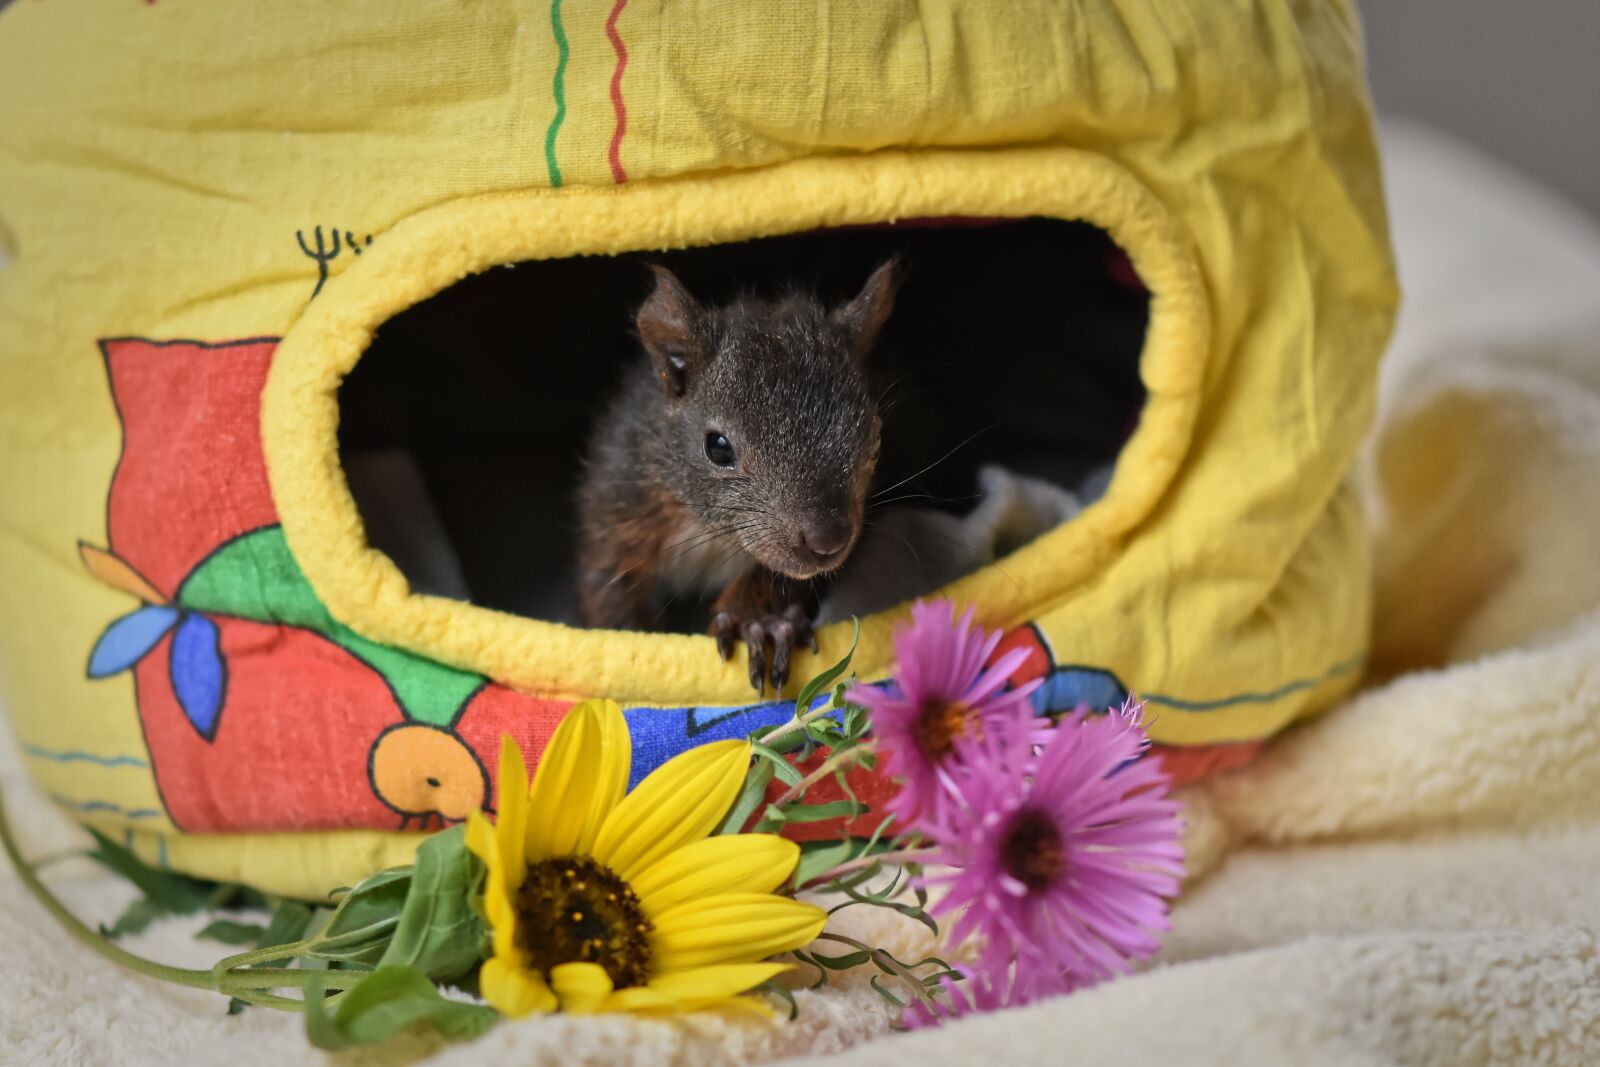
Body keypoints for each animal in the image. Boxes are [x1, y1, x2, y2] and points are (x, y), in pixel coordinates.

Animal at [576, 259, 898, 694]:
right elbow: (608, 584)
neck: (713, 531)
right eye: (718, 447)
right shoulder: (623, 505)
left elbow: (774, 577)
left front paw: (756, 624)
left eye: (876, 438)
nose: (828, 541)